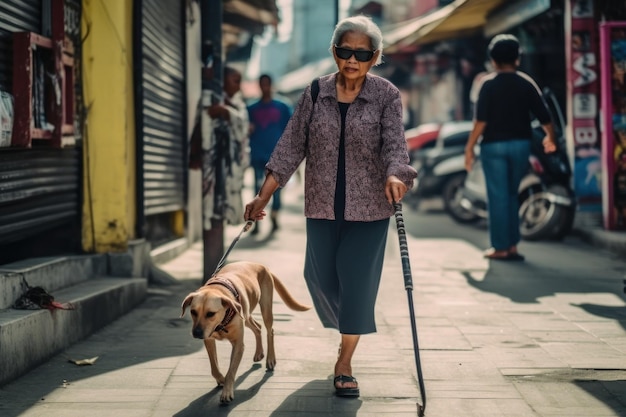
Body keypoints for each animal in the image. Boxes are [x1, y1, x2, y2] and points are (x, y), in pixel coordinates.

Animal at [179, 260, 308, 404]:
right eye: (193, 312)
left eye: (210, 313)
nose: (196, 333)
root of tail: (259, 264)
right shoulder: (209, 340)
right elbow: (214, 367)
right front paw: (221, 379)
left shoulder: (238, 345)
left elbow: (231, 372)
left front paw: (227, 392)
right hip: (245, 315)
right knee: (258, 327)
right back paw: (259, 353)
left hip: (265, 309)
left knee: (270, 331)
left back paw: (270, 359)